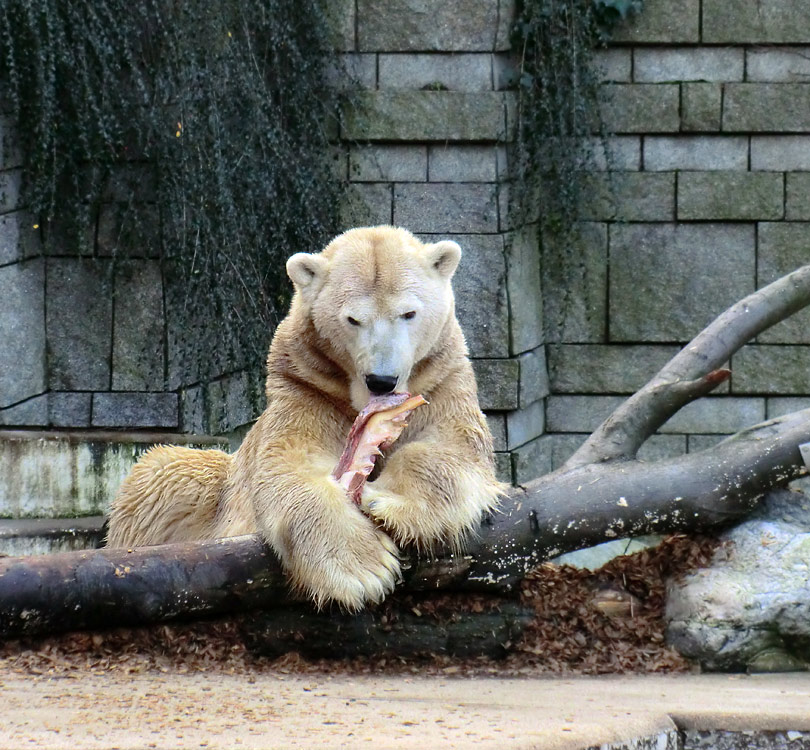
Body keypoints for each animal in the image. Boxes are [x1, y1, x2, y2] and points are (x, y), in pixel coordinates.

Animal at [107, 228, 498, 612]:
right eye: (353, 319)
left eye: (409, 313)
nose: (381, 380)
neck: (352, 398)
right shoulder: (305, 389)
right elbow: (290, 465)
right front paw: (365, 567)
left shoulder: (443, 379)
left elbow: (453, 447)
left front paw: (384, 499)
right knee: (164, 473)